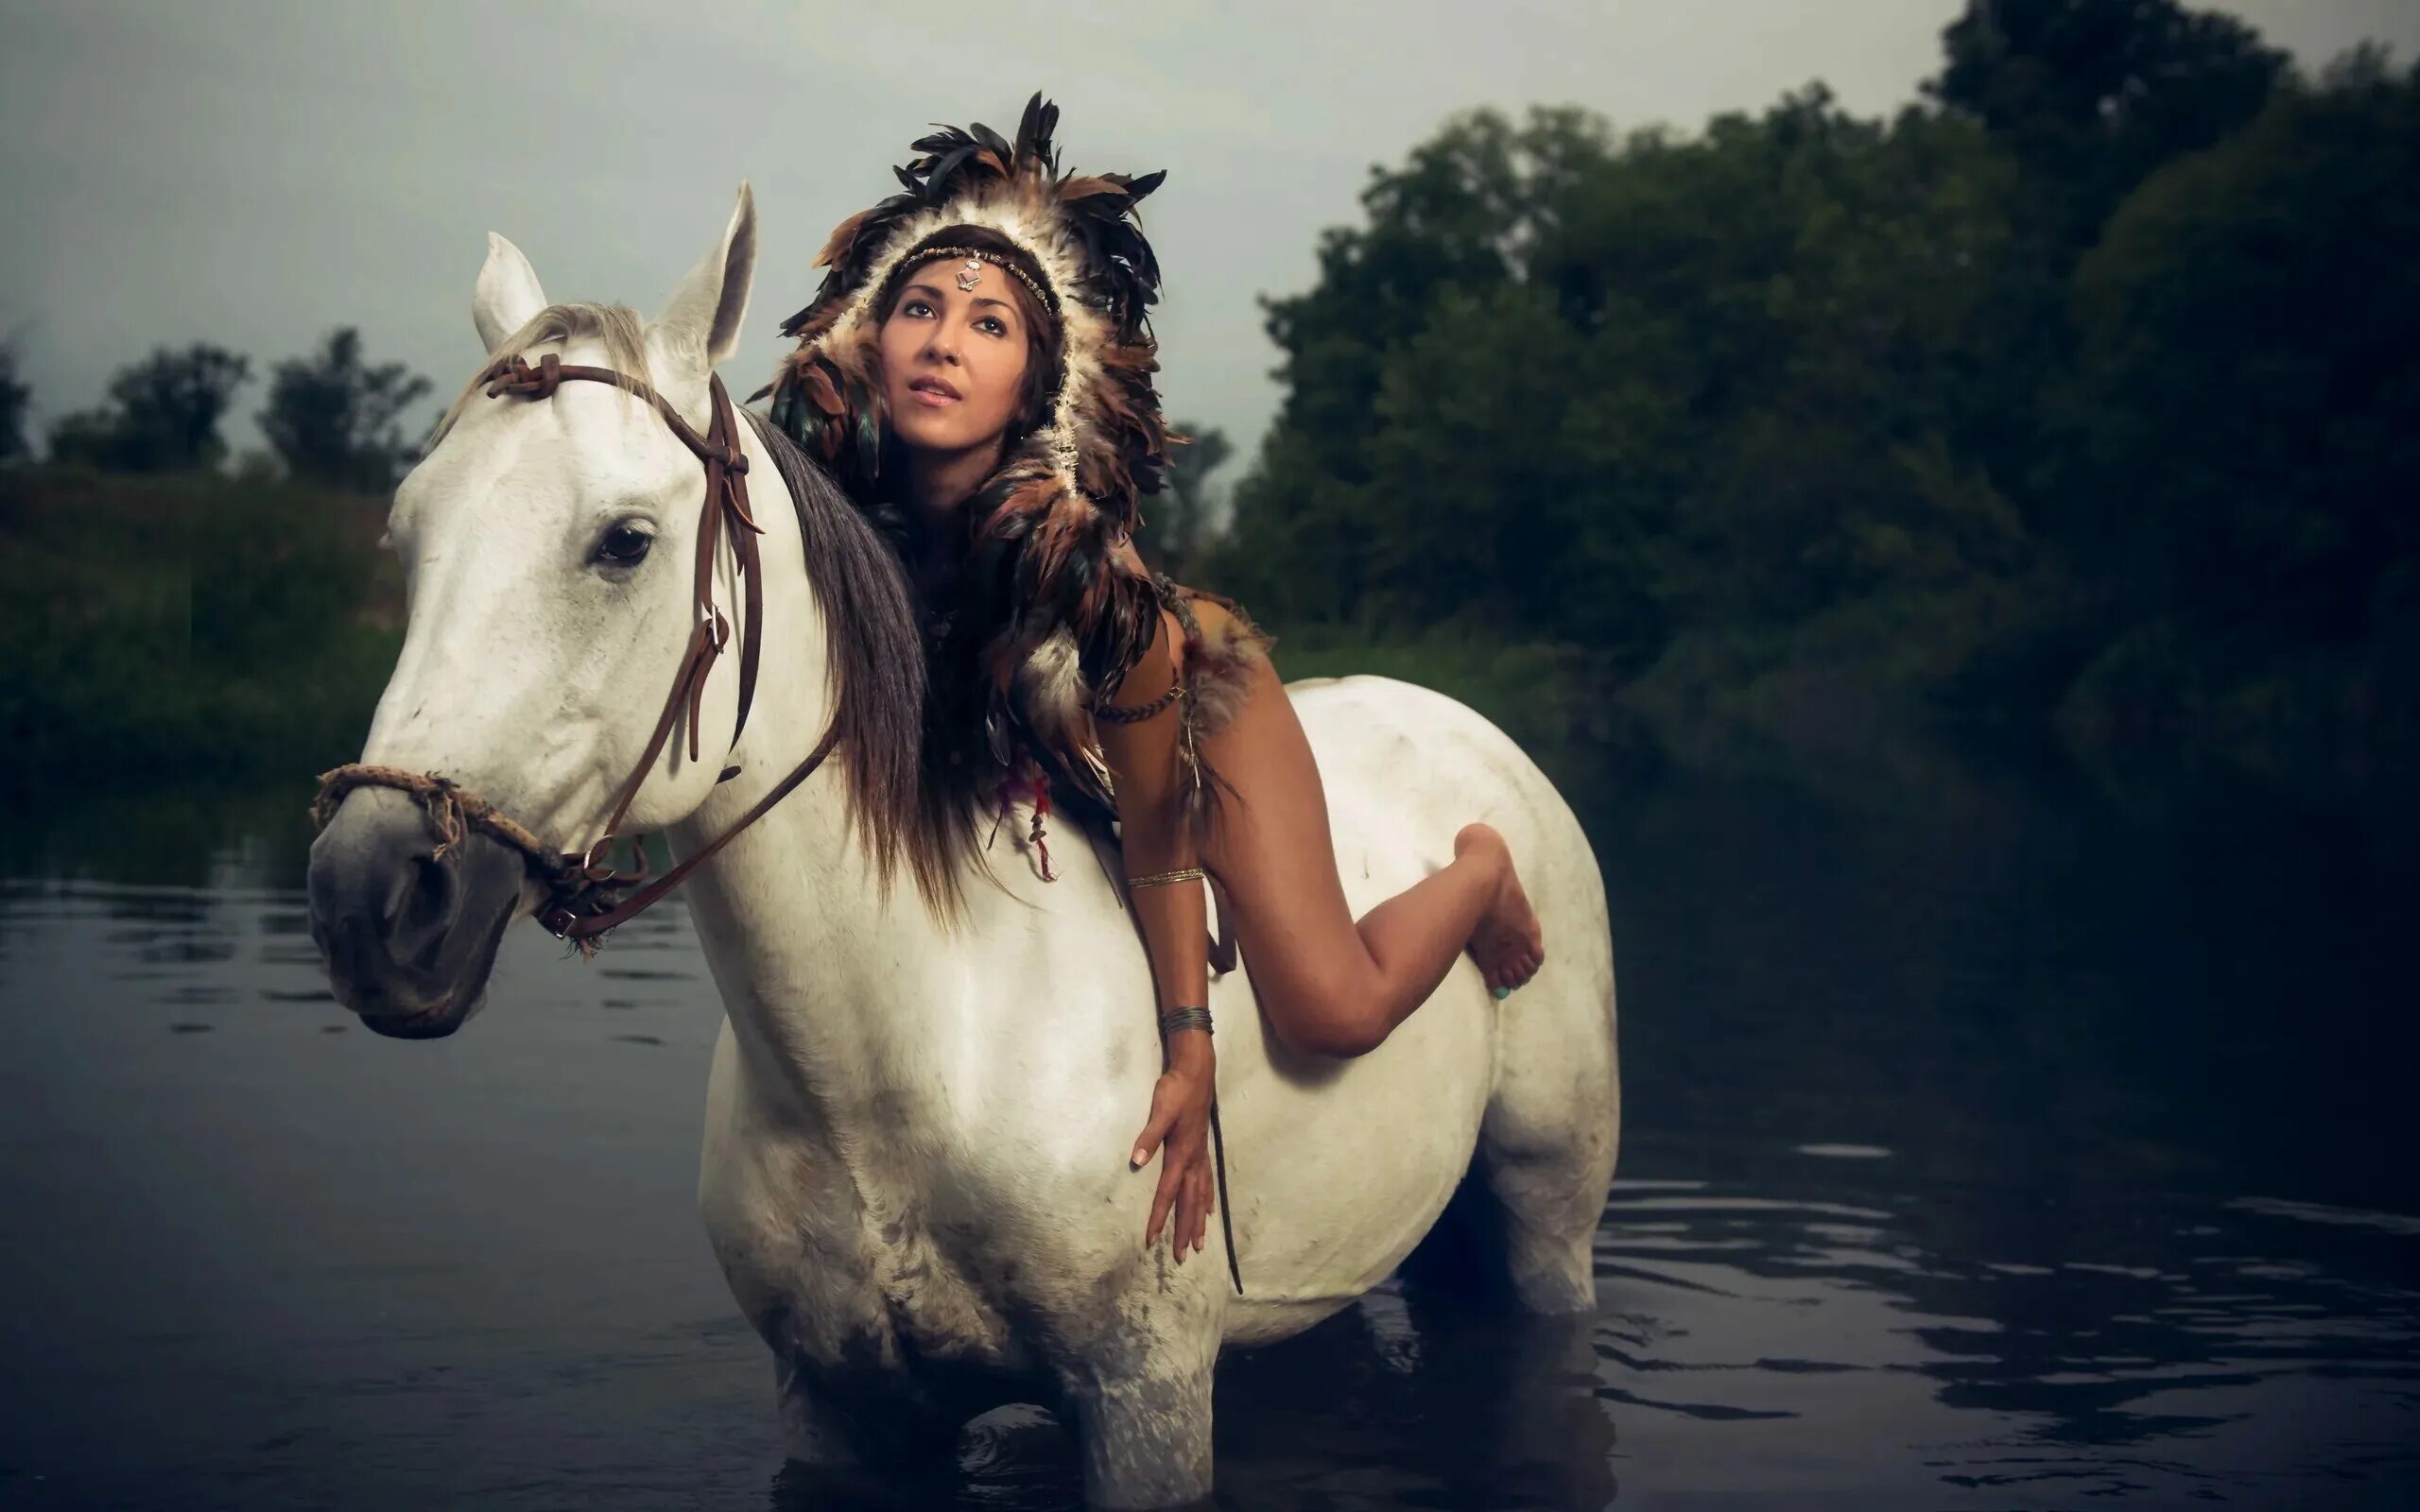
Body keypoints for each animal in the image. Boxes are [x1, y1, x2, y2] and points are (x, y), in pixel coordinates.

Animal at [307, 182, 1626, 1500]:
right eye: (408, 534)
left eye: (623, 540)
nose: (370, 900)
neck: (903, 1060)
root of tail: (1460, 721)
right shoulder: (837, 1407)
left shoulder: (1145, 1400)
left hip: (1543, 1214)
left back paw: (1497, 895)